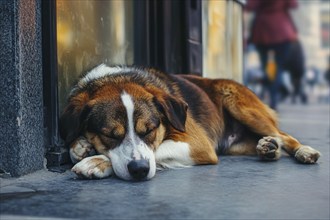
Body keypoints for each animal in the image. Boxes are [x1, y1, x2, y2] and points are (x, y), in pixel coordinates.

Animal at [58, 63, 320, 180]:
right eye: (110, 135)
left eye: (150, 130)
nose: (140, 170)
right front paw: (81, 147)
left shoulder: (197, 144)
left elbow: (155, 152)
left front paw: (97, 162)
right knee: (272, 140)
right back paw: (268, 148)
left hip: (239, 103)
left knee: (284, 135)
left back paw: (303, 151)